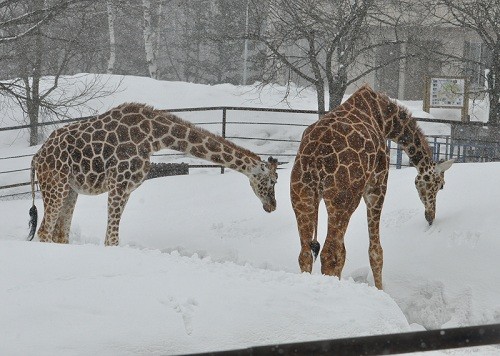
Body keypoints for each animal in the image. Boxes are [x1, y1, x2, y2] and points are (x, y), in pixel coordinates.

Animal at [27, 103, 280, 246]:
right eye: (272, 180)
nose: (272, 206)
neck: (154, 136)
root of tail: (36, 158)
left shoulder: (126, 188)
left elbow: (111, 238)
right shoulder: (119, 184)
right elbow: (111, 240)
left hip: (71, 189)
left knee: (60, 234)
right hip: (55, 185)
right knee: (44, 231)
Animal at [292, 84, 456, 290]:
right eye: (441, 185)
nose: (430, 216)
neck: (386, 119)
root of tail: (315, 156)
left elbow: (346, 253)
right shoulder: (378, 184)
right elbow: (376, 252)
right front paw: (380, 290)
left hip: (301, 193)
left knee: (306, 253)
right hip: (343, 199)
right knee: (330, 252)